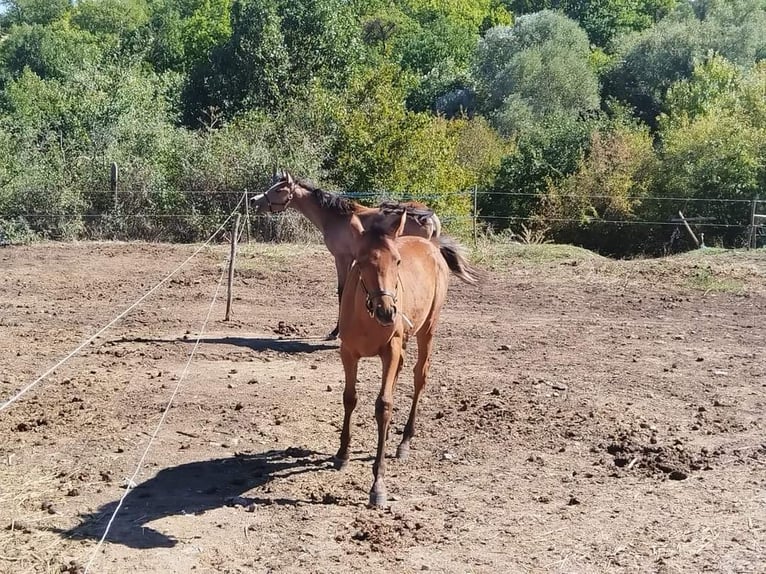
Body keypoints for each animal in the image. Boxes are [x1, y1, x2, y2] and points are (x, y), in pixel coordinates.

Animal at [252, 171, 444, 342]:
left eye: (278, 189)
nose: (254, 200)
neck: (335, 217)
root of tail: (429, 216)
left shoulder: (342, 258)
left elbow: (341, 291)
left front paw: (336, 331)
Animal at [338, 209, 476, 506]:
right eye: (361, 261)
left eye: (397, 261)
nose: (387, 311)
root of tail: (432, 245)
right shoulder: (348, 353)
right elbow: (350, 398)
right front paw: (342, 453)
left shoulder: (389, 350)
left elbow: (384, 405)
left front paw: (378, 485)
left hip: (428, 329)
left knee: (419, 377)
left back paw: (404, 442)